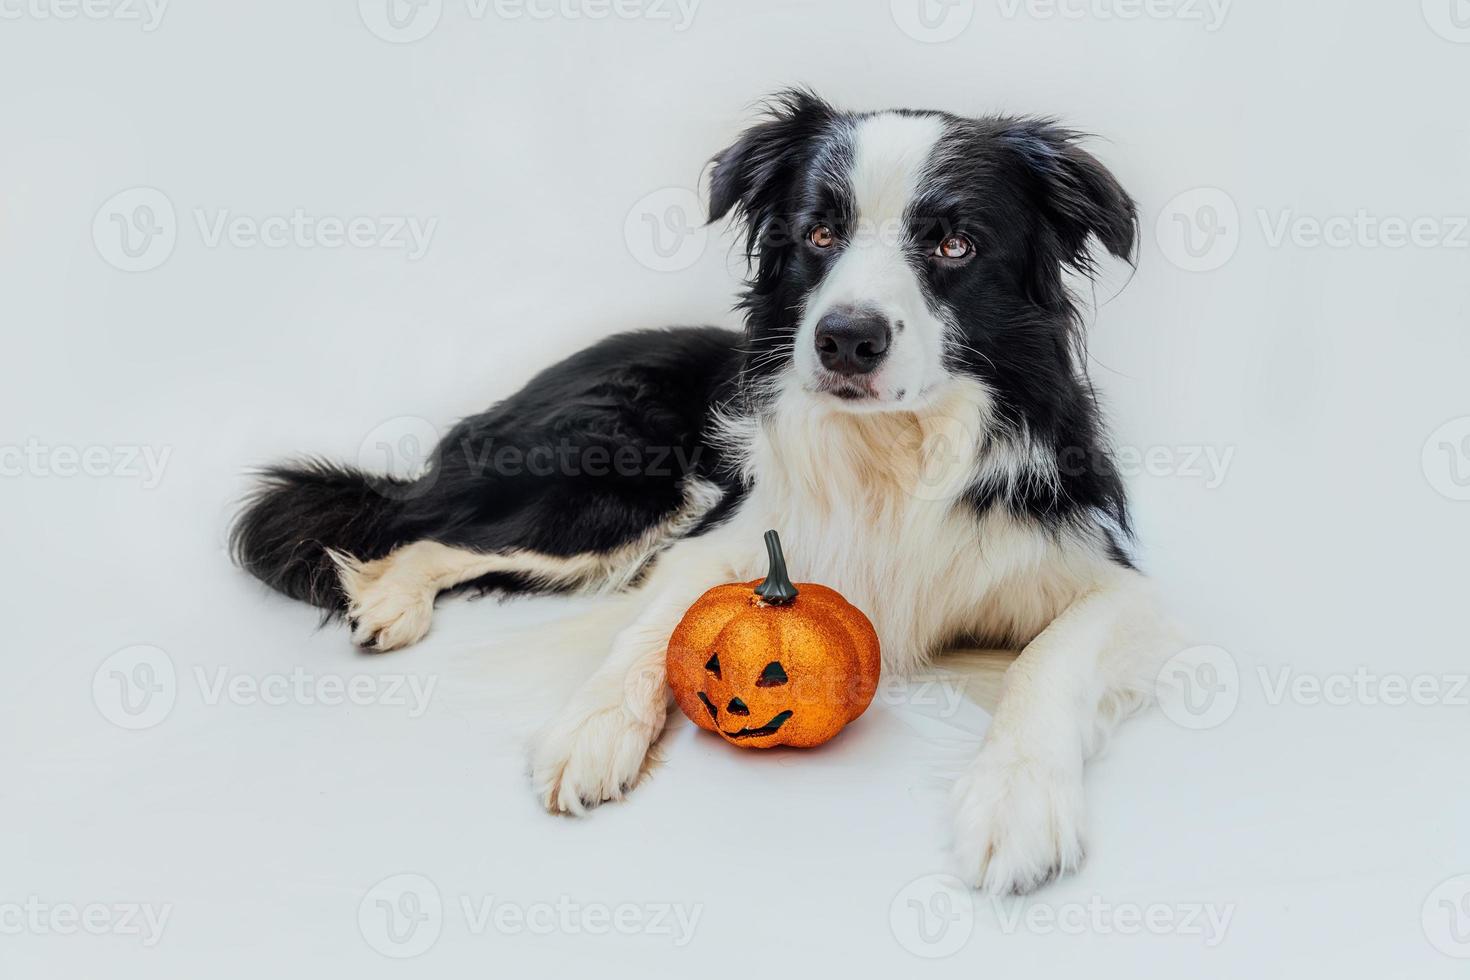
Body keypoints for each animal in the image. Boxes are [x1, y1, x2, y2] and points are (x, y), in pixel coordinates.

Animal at [232, 91, 1170, 899]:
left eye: (955, 246)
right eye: (819, 232)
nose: (845, 339)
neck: (892, 448)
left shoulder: (1109, 578)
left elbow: (1051, 656)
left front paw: (1017, 801)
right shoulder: (724, 533)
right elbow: (652, 630)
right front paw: (591, 730)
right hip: (613, 486)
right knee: (423, 529)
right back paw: (390, 603)